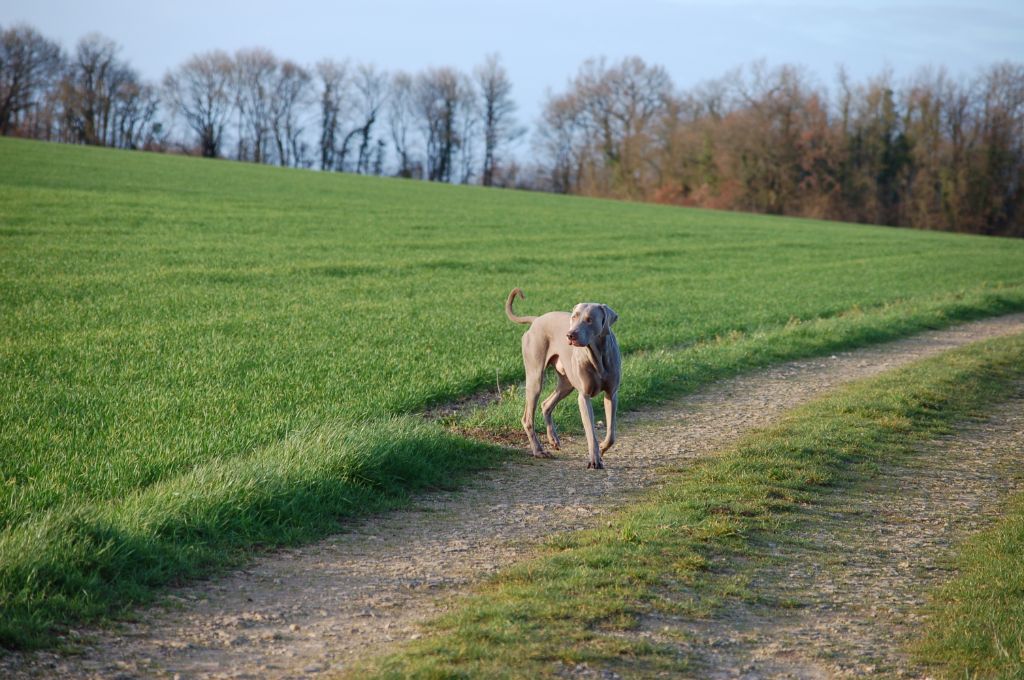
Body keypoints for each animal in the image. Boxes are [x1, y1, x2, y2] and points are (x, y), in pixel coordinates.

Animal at [505, 286, 618, 466]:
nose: (570, 335)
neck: (597, 355)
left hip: (567, 384)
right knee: (528, 417)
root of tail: (537, 320)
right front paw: (594, 459)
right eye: (574, 317)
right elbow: (590, 431)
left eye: (589, 320)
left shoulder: (611, 394)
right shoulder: (584, 396)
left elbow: (611, 433)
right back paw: (538, 451)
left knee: (546, 404)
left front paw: (602, 448)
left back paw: (553, 440)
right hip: (535, 377)